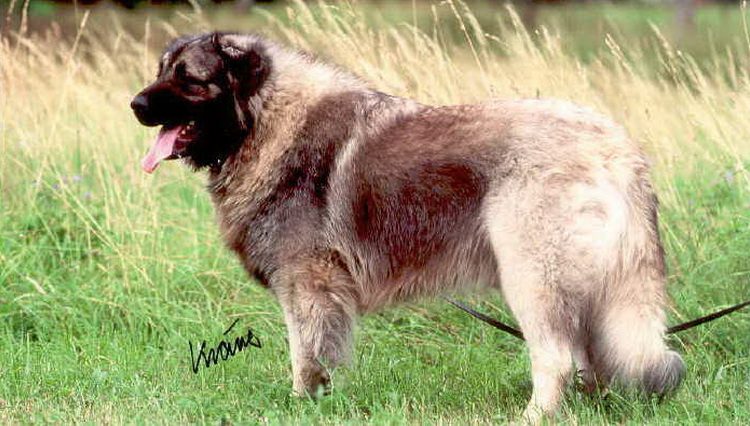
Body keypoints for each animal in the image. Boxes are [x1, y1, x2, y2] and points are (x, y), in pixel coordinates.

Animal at [131, 32, 685, 423]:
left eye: (188, 77)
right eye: (160, 71)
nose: (136, 105)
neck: (265, 121)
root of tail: (618, 149)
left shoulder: (308, 285)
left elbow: (306, 356)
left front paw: (303, 403)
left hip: (533, 278)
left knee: (557, 358)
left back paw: (534, 417)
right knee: (588, 359)